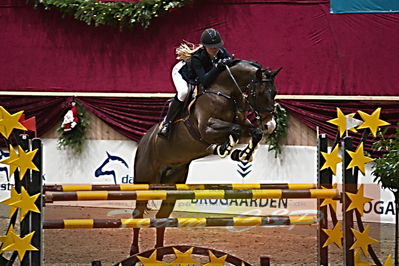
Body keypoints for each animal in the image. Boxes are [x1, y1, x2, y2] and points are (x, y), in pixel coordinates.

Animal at [130, 59, 280, 256]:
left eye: (274, 93)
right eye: (260, 93)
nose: (270, 125)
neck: (225, 92)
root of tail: (143, 141)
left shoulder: (244, 124)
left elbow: (253, 132)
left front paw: (242, 154)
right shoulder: (206, 128)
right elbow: (233, 130)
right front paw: (224, 148)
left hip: (172, 185)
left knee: (161, 217)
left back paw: (159, 252)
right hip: (143, 181)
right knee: (137, 215)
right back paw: (134, 251)